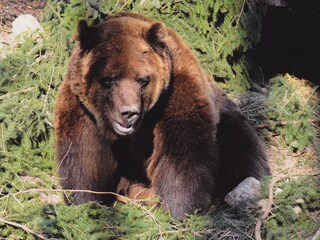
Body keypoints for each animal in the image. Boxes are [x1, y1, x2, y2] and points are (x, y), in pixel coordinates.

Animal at [54, 12, 270, 220]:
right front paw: (84, 203)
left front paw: (177, 209)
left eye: (143, 80)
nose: (129, 113)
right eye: (109, 79)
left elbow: (181, 154)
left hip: (227, 120)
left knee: (241, 146)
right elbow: (83, 158)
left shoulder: (174, 94)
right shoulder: (82, 109)